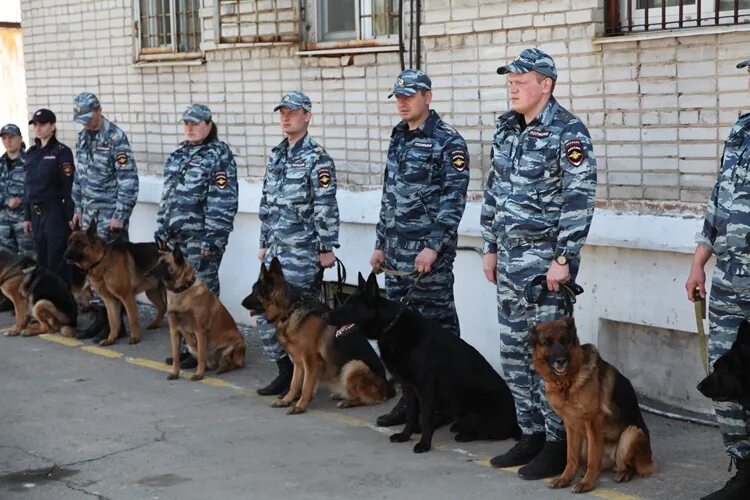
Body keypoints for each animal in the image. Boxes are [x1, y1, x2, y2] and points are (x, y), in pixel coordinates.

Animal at [149, 244, 247, 380]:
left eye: (164, 264)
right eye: (158, 262)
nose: (147, 273)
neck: (181, 290)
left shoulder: (200, 331)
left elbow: (201, 356)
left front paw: (199, 374)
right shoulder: (174, 331)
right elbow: (176, 355)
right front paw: (174, 372)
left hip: (237, 343)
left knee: (235, 363)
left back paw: (222, 368)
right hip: (192, 347)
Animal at [244, 258, 396, 414]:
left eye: (254, 292)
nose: (242, 303)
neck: (291, 310)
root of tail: (387, 388)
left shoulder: (311, 361)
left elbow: (306, 386)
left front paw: (300, 405)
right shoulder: (298, 362)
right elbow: (294, 384)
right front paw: (286, 400)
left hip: (354, 365)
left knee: (369, 398)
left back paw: (348, 401)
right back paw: (340, 395)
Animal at [328, 274, 524, 454]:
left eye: (349, 306)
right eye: (344, 303)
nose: (325, 315)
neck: (391, 326)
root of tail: (515, 424)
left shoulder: (426, 389)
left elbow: (426, 420)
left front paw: (424, 444)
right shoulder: (409, 387)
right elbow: (411, 415)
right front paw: (405, 435)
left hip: (474, 409)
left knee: (493, 433)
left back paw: (465, 435)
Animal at [532, 318, 656, 494]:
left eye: (564, 340)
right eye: (547, 343)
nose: (561, 360)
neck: (568, 382)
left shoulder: (593, 422)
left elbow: (593, 458)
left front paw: (587, 483)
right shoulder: (570, 425)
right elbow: (571, 457)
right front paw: (565, 479)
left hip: (631, 433)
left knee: (630, 466)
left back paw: (623, 473)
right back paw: (585, 470)